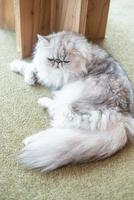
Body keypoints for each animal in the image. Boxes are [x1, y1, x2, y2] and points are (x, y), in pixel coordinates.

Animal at [10, 30, 134, 172]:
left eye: (65, 61)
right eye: (51, 59)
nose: (57, 64)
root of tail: (123, 120)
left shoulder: (57, 80)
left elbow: (34, 68)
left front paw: (27, 74)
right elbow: (33, 66)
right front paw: (23, 72)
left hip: (73, 105)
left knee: (58, 120)